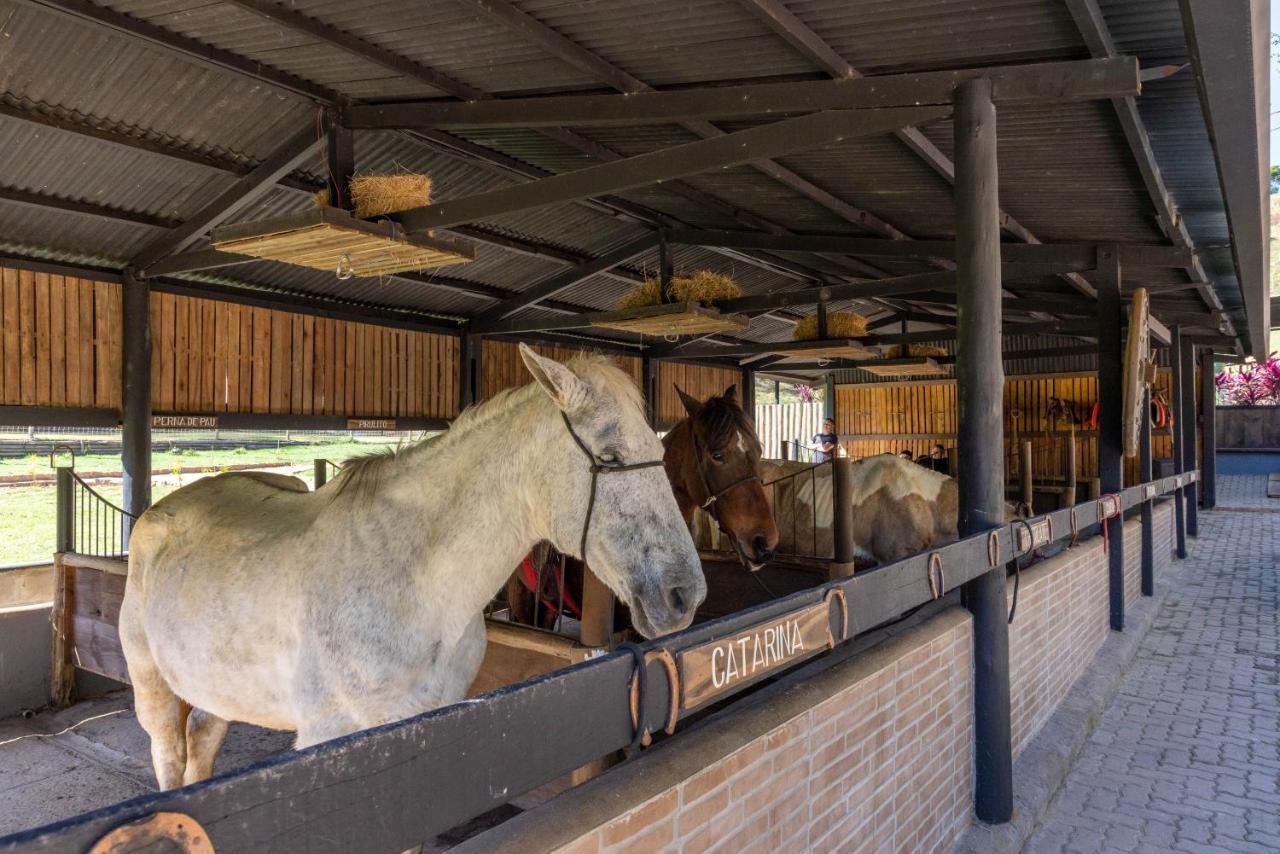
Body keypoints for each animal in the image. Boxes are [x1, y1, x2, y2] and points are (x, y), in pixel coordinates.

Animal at [116, 345, 706, 788]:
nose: (685, 595)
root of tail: (157, 514)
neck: (415, 585)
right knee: (171, 760)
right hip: (154, 692)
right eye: (609, 457)